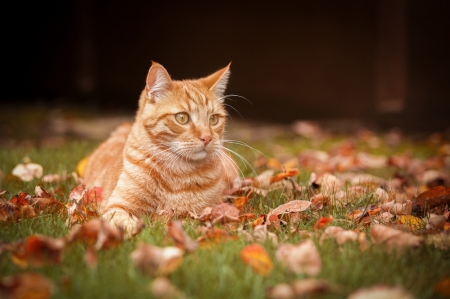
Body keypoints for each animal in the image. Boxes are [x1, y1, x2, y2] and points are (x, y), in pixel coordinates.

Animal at [84, 61, 239, 234]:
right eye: (182, 118)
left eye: (213, 119)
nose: (207, 137)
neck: (177, 174)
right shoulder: (116, 207)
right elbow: (123, 221)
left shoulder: (201, 212)